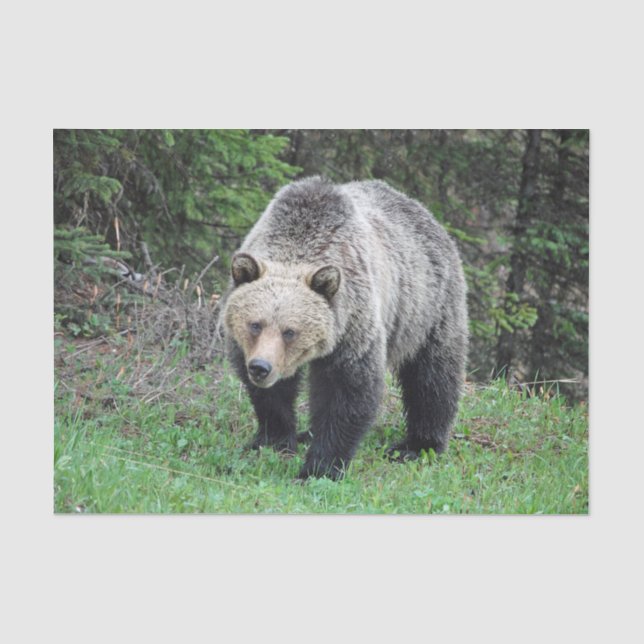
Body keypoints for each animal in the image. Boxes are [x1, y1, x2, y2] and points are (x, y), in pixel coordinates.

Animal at [222, 176, 468, 480]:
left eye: (290, 331)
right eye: (255, 324)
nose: (260, 367)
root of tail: (425, 213)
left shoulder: (352, 325)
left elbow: (346, 392)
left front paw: (319, 468)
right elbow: (272, 396)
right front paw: (273, 440)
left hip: (428, 307)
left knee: (432, 377)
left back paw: (417, 445)